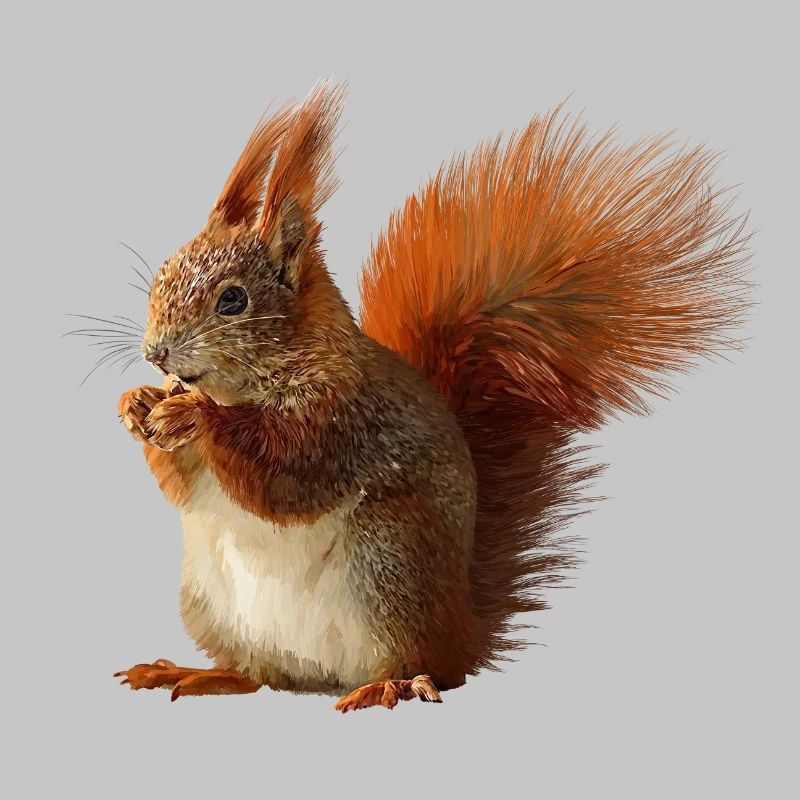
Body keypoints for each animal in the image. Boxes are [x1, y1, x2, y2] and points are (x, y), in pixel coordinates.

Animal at [111, 83, 749, 711]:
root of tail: (462, 628)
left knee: (426, 668)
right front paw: (137, 403)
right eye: (162, 272)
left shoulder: (342, 421)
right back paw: (198, 673)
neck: (247, 385)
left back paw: (388, 686)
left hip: (390, 561)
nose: (155, 353)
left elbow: (282, 475)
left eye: (233, 300)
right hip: (212, 600)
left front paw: (194, 414)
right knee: (260, 674)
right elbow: (182, 486)